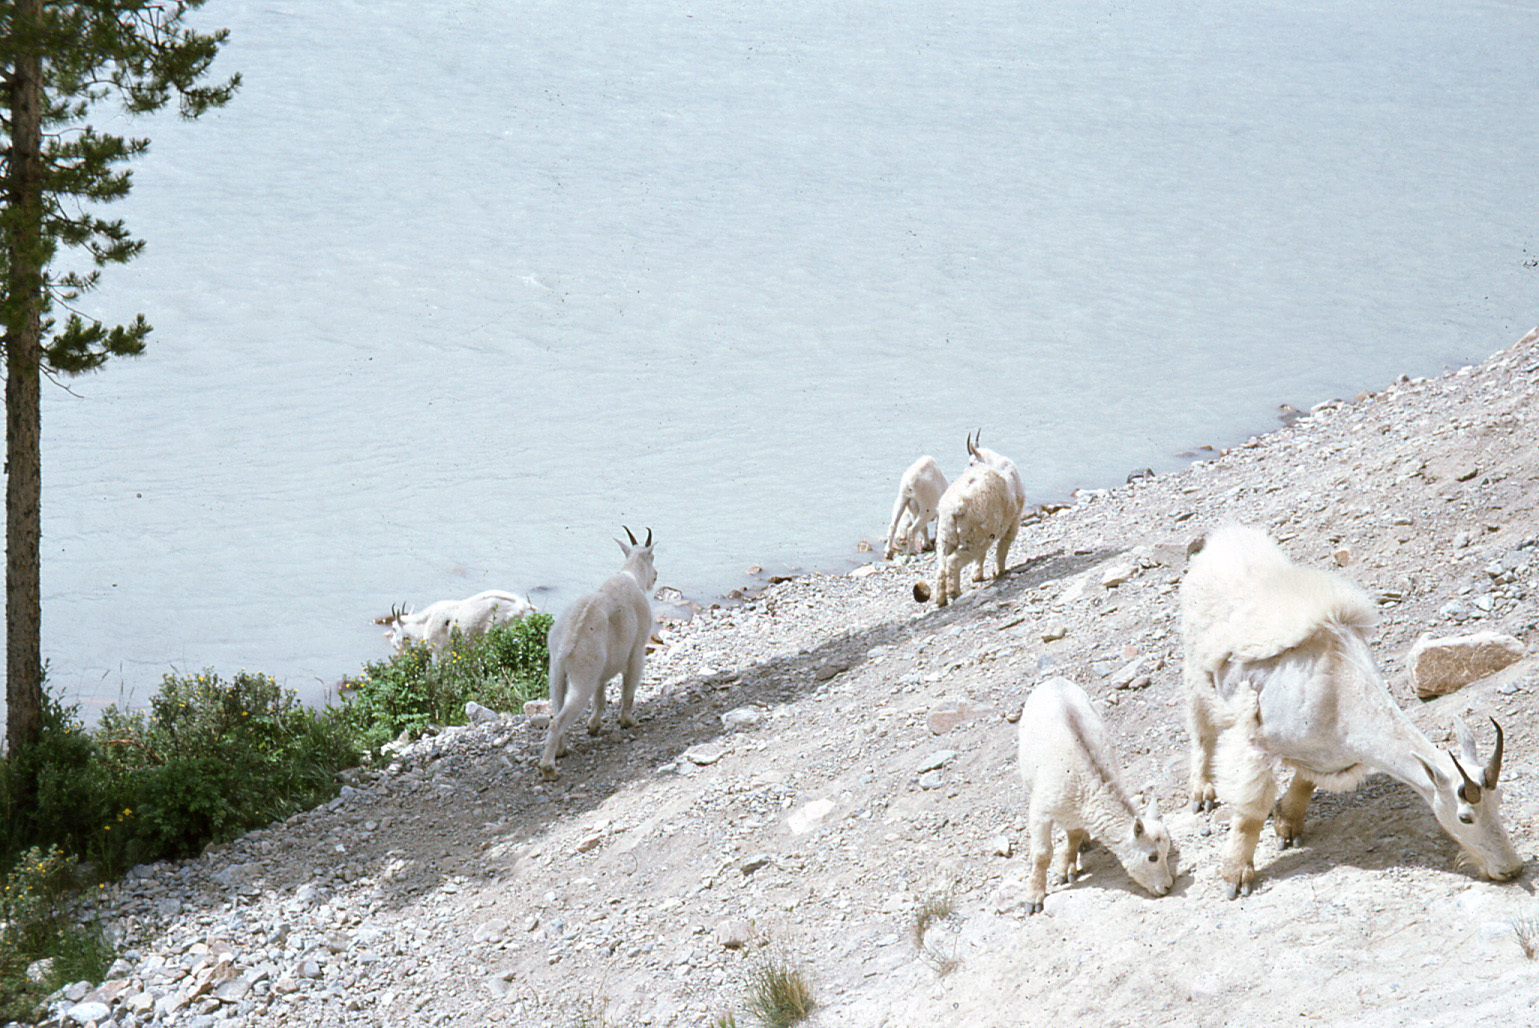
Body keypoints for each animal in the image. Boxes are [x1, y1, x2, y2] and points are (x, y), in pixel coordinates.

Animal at [539, 527, 657, 780]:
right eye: (652, 557)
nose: (655, 576)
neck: (631, 576)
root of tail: (567, 642)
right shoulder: (637, 651)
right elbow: (629, 688)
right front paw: (628, 721)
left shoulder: (600, 669)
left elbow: (600, 695)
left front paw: (594, 726)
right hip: (582, 676)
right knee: (558, 720)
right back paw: (549, 768)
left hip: (557, 673)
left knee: (557, 707)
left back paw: (561, 750)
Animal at [932, 432, 1025, 606]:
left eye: (970, 463)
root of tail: (955, 508)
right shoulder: (1014, 521)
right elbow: (1003, 546)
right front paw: (999, 571)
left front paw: (977, 576)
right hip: (975, 538)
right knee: (954, 561)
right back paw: (955, 592)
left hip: (946, 535)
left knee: (942, 564)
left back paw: (941, 600)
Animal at [1016, 677, 1174, 912]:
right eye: (1152, 857)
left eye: (1166, 852)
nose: (1167, 887)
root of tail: (1054, 680)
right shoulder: (1040, 812)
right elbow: (1042, 854)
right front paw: (1033, 899)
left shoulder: (1076, 813)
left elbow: (1073, 837)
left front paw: (1067, 870)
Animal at [1182, 524, 1522, 897]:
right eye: (1465, 817)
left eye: (1500, 800)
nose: (1511, 869)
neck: (1337, 696)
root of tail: (1224, 537)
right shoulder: (1254, 740)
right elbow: (1250, 811)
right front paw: (1236, 875)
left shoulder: (1326, 754)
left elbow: (1306, 782)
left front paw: (1288, 824)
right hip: (1197, 671)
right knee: (1201, 731)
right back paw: (1202, 792)